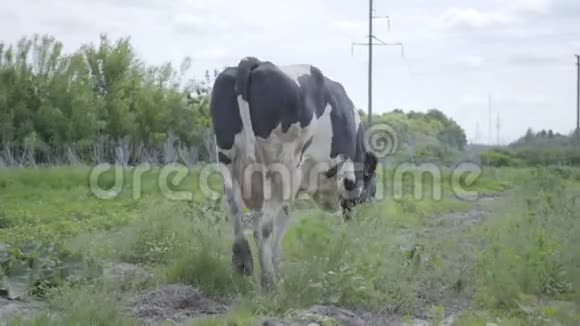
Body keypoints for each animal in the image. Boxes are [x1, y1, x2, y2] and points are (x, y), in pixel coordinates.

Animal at [211, 56, 378, 288]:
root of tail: (254, 62)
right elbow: (283, 220)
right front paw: (276, 266)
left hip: (226, 157)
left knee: (234, 209)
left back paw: (242, 263)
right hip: (283, 170)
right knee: (264, 225)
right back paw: (269, 279)